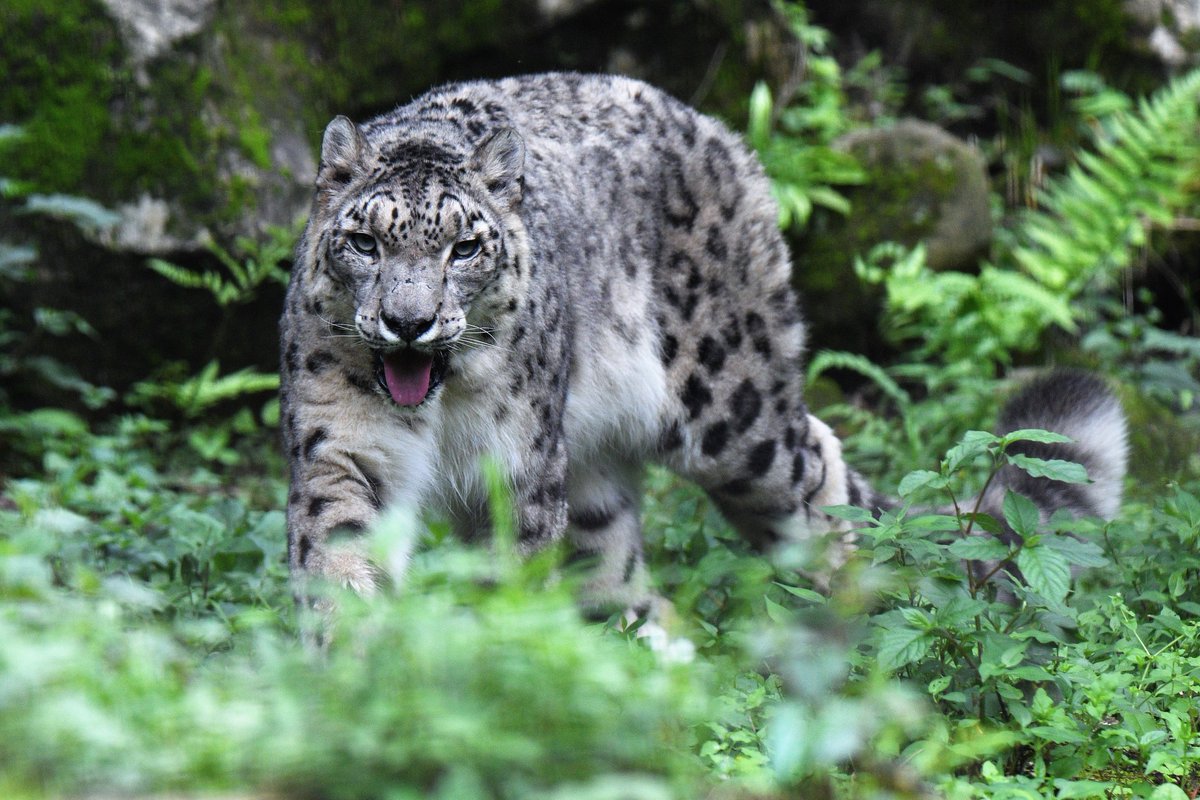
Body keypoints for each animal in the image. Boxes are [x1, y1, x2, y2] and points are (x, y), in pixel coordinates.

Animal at [276, 74, 1128, 614]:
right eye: (364, 241)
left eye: (463, 247)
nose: (408, 323)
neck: (442, 412)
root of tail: (716, 130)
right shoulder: (344, 444)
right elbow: (338, 555)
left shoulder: (516, 467)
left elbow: (510, 573)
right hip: (594, 458)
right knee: (611, 557)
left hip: (732, 412)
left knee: (815, 464)